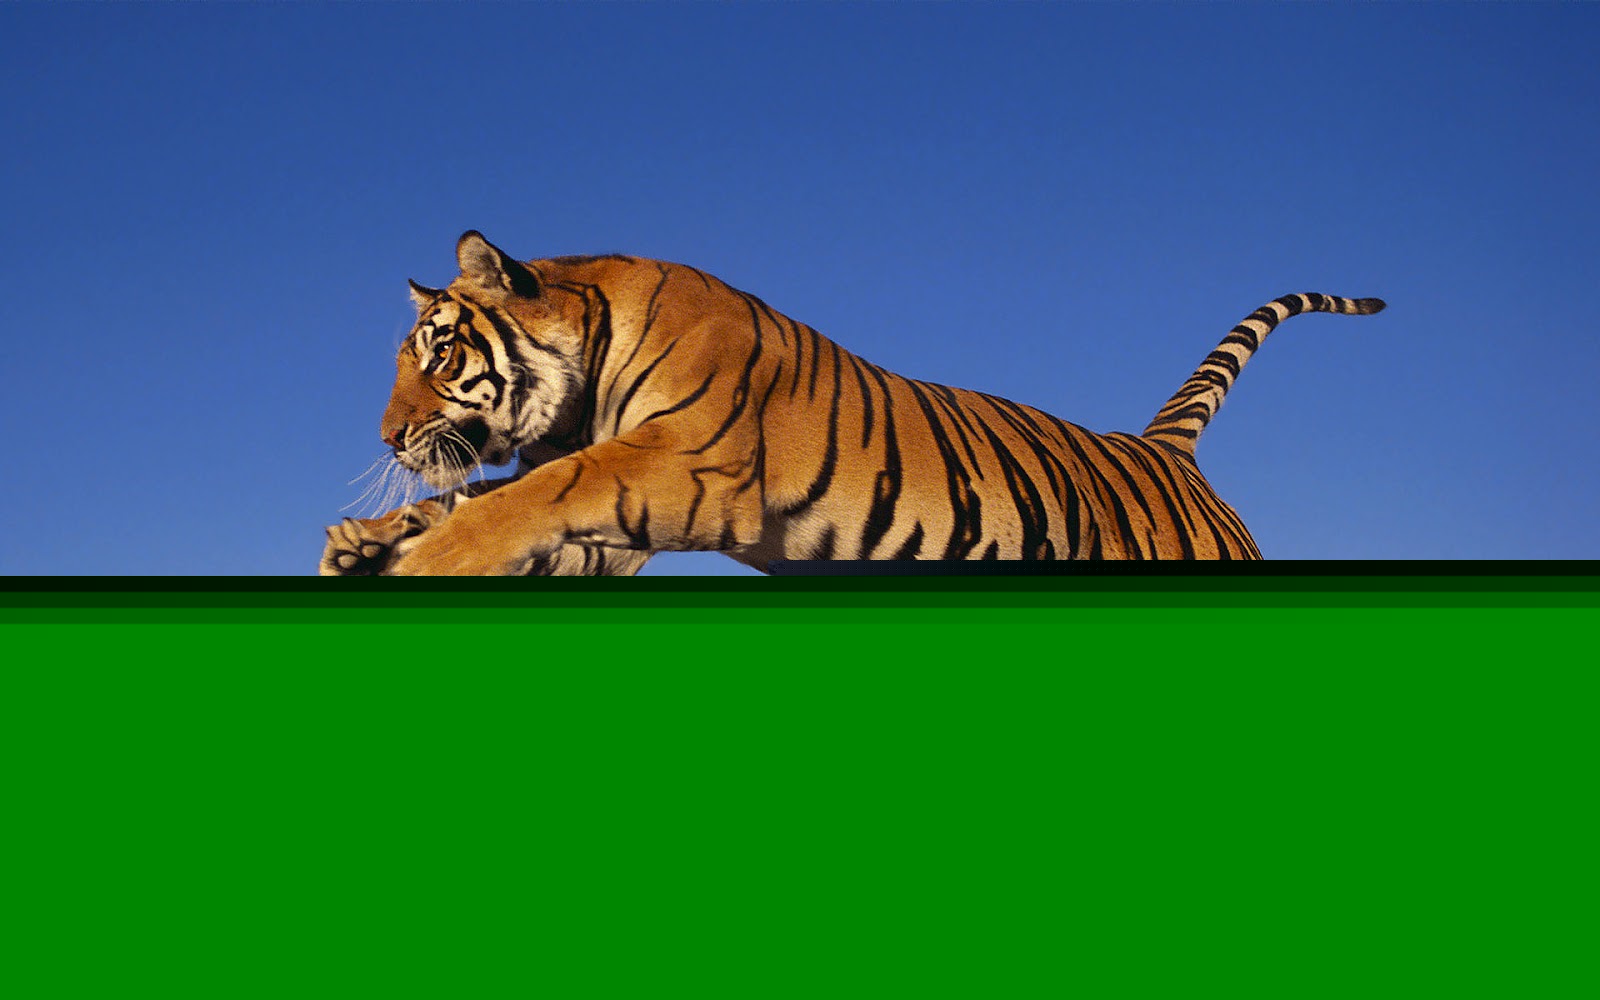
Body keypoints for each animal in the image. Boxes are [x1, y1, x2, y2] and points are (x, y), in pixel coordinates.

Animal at [320, 231, 1384, 575]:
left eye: (439, 352)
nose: (388, 434)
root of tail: (1164, 447)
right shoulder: (612, 532)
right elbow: (485, 496)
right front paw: (366, 541)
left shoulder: (678, 465)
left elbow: (519, 497)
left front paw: (424, 557)